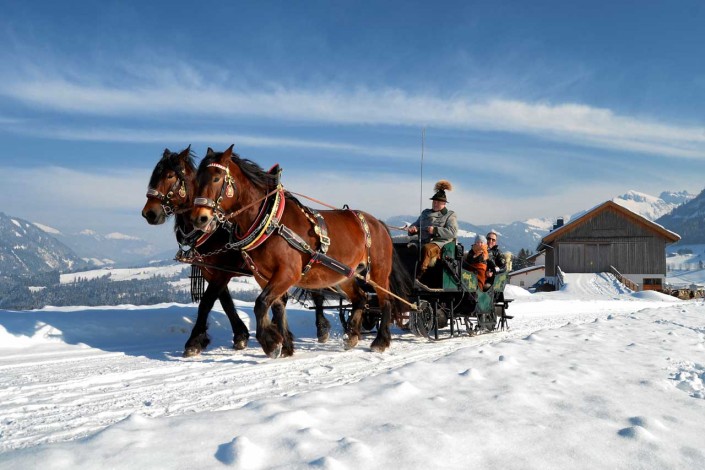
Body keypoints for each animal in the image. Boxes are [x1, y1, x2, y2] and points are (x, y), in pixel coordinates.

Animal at [192, 145, 410, 358]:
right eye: (196, 180)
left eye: (216, 178)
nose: (199, 218)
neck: (271, 222)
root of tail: (378, 223)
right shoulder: (263, 276)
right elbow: (277, 306)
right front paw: (286, 345)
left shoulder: (288, 272)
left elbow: (261, 303)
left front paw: (270, 343)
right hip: (345, 275)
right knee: (361, 298)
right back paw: (352, 336)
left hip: (378, 272)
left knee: (386, 301)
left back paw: (380, 341)